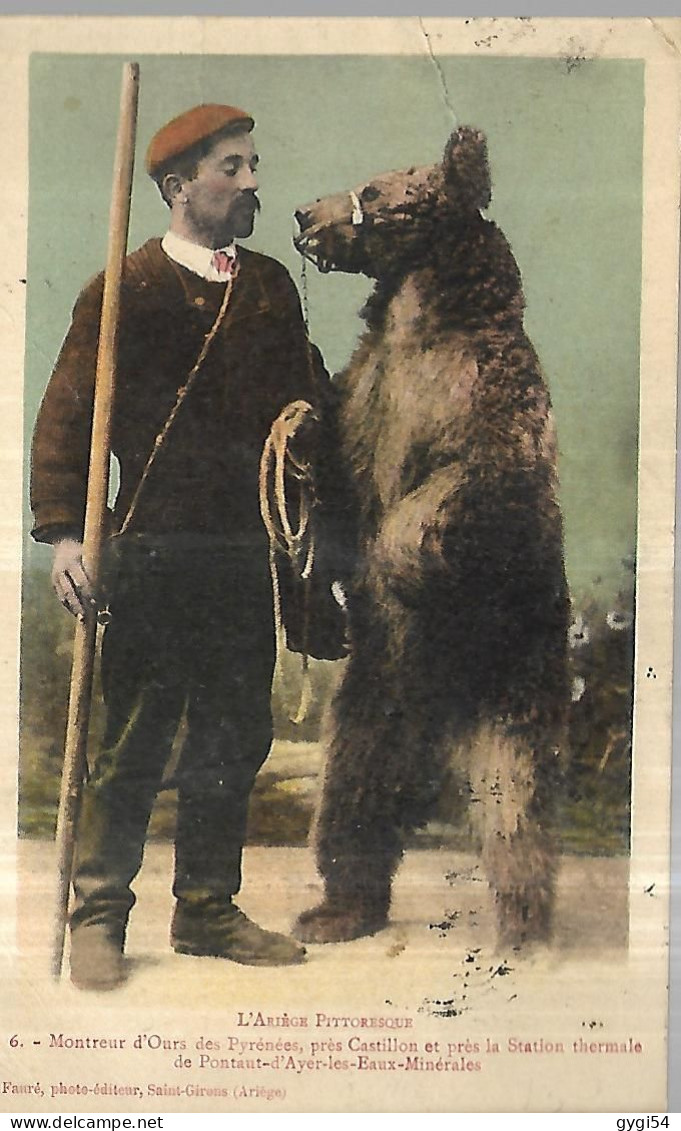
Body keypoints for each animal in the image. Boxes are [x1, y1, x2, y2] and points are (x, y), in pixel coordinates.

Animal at [289, 128, 567, 950]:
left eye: (376, 189)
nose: (304, 212)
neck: (420, 327)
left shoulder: (482, 398)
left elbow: (471, 488)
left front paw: (395, 559)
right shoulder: (366, 392)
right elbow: (334, 470)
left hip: (516, 673)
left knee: (515, 801)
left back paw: (524, 931)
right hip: (377, 682)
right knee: (354, 778)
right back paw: (337, 908)